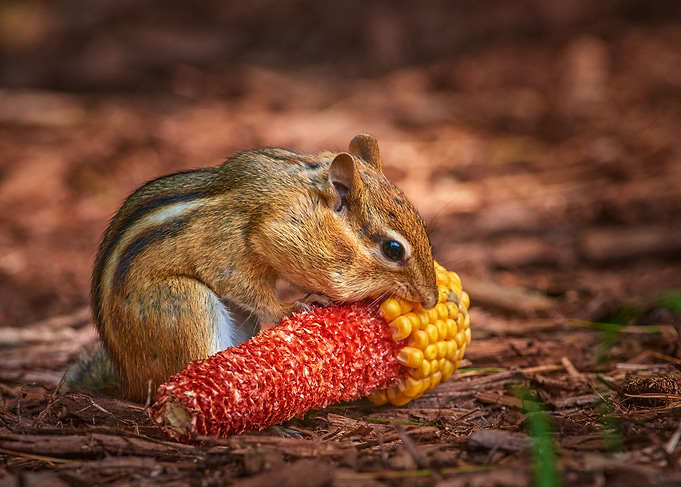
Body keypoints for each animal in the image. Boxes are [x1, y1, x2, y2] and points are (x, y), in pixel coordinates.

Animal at [66, 134, 439, 403]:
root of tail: (127, 380)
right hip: (184, 305)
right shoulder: (240, 247)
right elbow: (248, 288)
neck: (299, 198)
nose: (432, 300)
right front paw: (292, 306)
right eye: (393, 249)